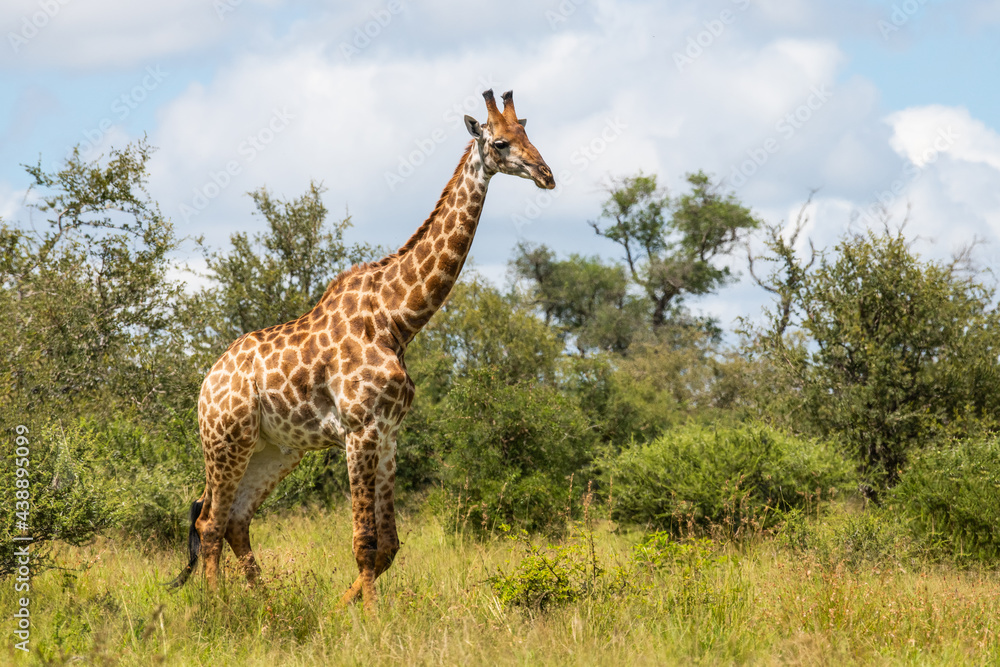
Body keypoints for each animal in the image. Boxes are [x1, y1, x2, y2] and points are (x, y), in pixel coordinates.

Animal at [167, 88, 552, 612]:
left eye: (527, 133)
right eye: (500, 143)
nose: (546, 174)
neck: (398, 320)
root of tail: (208, 380)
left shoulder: (389, 434)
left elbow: (388, 544)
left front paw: (339, 609)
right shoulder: (359, 431)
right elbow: (365, 541)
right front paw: (369, 620)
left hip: (277, 451)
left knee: (234, 522)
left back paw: (265, 604)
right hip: (226, 439)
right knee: (208, 523)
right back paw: (218, 608)